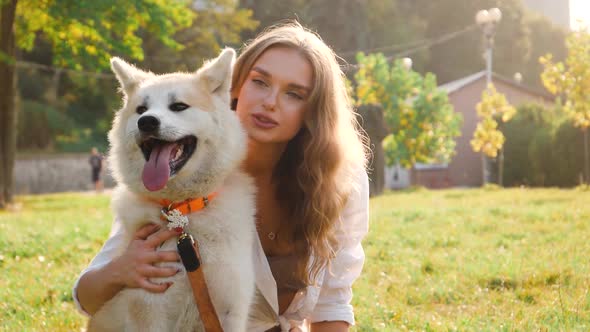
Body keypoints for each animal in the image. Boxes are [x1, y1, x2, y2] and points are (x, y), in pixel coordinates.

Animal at [88, 48, 256, 330]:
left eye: (179, 106)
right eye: (141, 109)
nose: (146, 122)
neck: (182, 213)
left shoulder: (230, 309)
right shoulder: (149, 311)